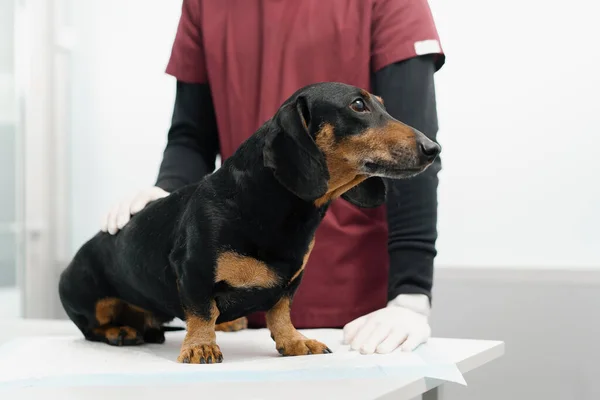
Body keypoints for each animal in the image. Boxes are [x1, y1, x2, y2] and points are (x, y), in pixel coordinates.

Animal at [57, 81, 440, 362]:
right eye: (358, 105)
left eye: (383, 105)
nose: (434, 149)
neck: (266, 207)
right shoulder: (193, 269)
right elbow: (201, 311)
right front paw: (200, 345)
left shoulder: (289, 284)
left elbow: (281, 313)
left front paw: (294, 342)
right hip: (84, 296)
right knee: (93, 327)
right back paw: (120, 331)